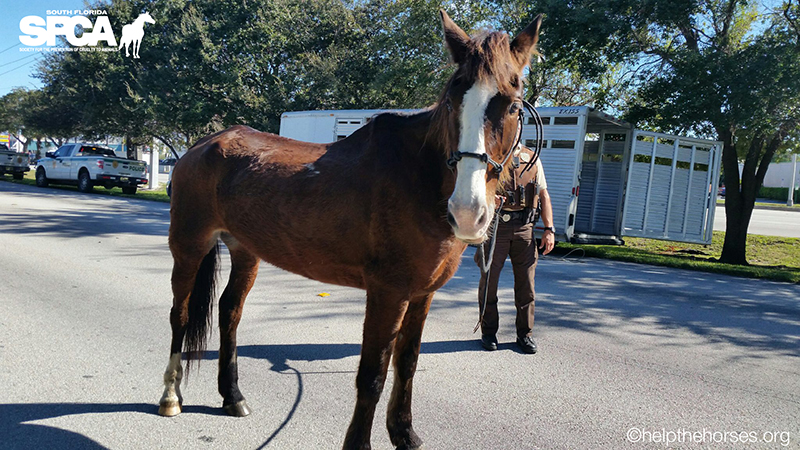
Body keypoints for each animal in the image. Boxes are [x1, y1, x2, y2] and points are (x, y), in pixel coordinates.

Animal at [156, 10, 544, 450]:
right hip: (189, 245)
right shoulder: (388, 292)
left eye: (511, 105)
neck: (420, 178)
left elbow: (407, 363)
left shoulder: (421, 294)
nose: (466, 211)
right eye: (451, 101)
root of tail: (200, 146)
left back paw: (232, 395)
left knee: (229, 313)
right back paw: (170, 396)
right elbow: (372, 375)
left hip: (245, 250)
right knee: (180, 313)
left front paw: (404, 433)